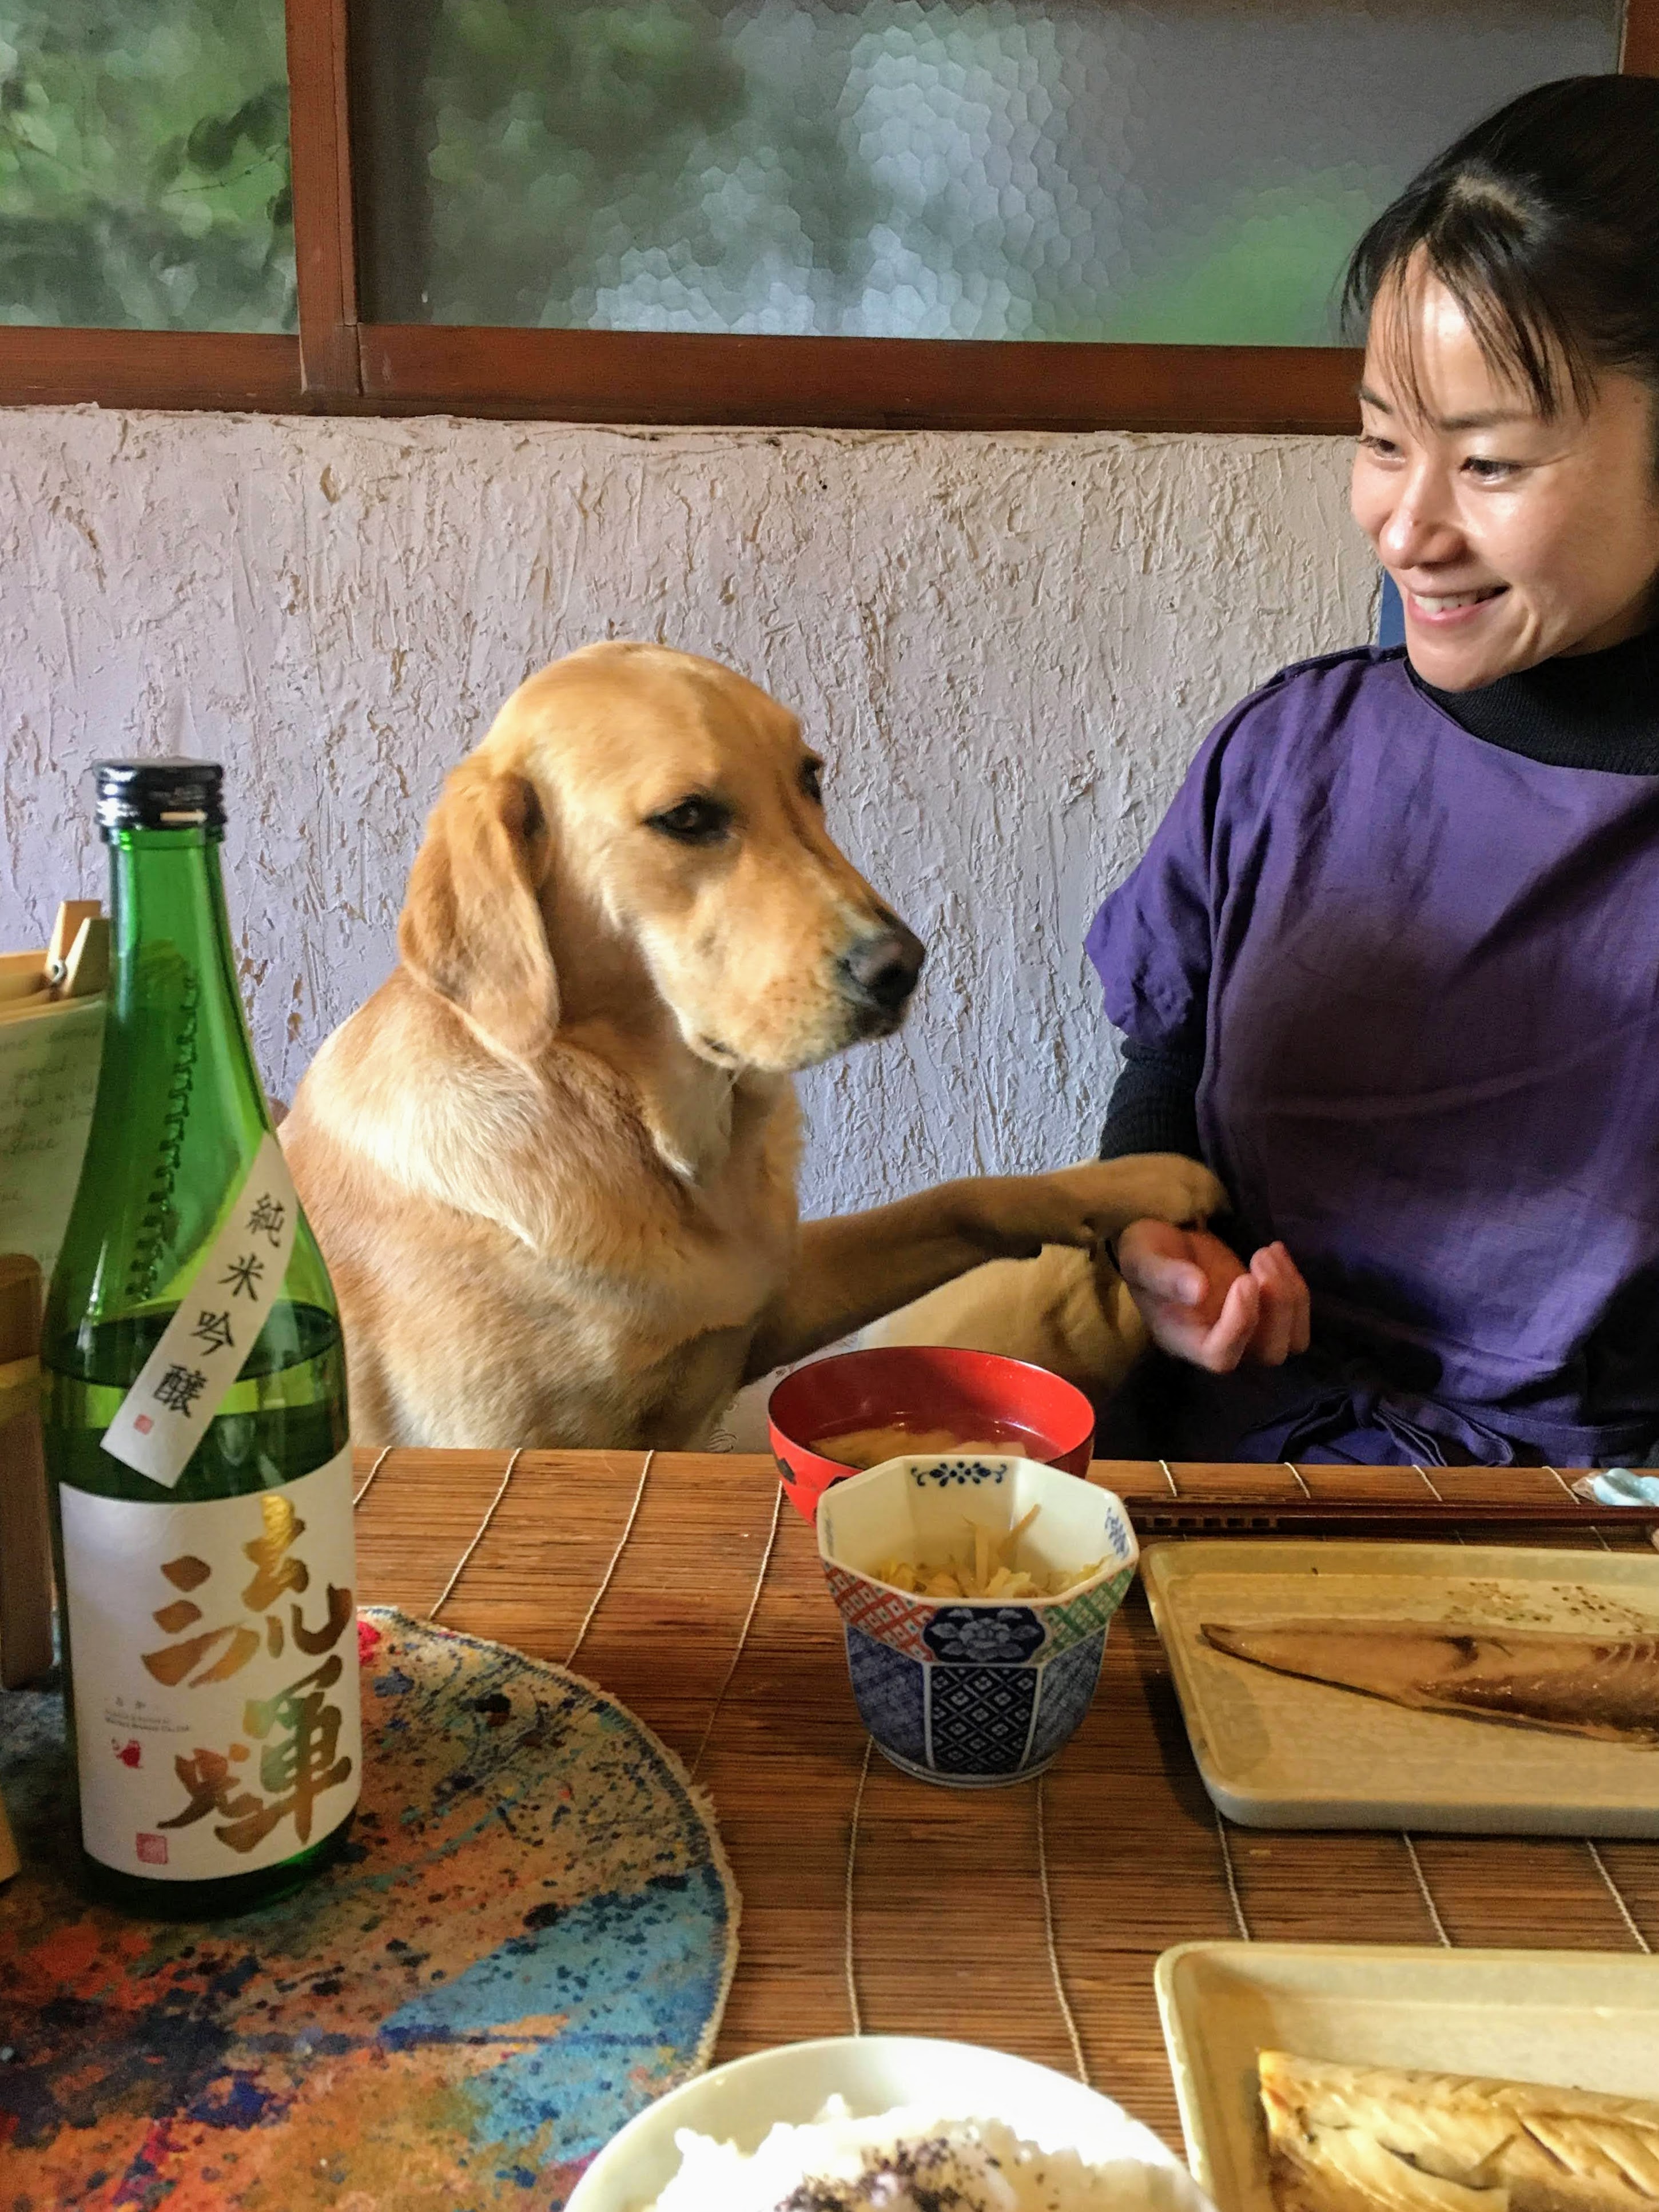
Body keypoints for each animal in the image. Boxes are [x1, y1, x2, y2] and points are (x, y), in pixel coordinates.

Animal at [283, 641, 1221, 1451]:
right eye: (688, 817)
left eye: (810, 778)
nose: (903, 967)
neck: (651, 1135)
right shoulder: (505, 1441)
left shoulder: (776, 1300)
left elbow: (953, 1196)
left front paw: (1135, 1182)